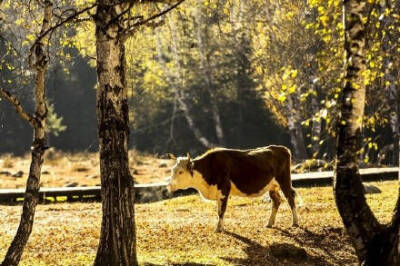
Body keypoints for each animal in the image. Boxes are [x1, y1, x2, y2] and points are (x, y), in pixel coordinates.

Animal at [166, 145, 300, 233]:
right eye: (172, 170)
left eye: (180, 171)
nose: (169, 185)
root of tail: (282, 148)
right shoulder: (218, 194)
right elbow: (219, 210)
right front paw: (220, 227)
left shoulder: (224, 190)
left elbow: (221, 211)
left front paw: (218, 229)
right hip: (272, 186)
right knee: (276, 201)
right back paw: (269, 223)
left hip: (284, 181)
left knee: (290, 198)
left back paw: (295, 222)